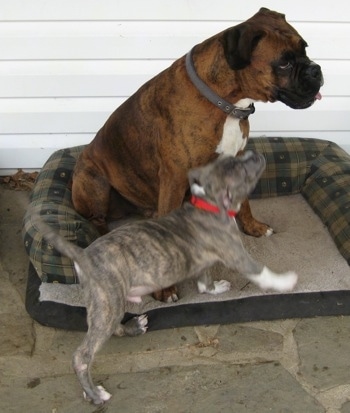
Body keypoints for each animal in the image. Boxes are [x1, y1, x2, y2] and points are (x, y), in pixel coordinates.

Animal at [37, 150, 296, 402]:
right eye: (241, 170)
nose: (256, 153)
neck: (209, 203)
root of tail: (83, 254)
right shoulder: (236, 255)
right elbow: (261, 271)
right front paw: (285, 281)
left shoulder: (203, 262)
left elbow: (205, 284)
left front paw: (217, 288)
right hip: (108, 302)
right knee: (82, 356)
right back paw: (94, 393)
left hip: (107, 304)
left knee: (110, 330)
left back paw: (133, 328)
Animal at [71, 8, 322, 300]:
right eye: (284, 63)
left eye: (305, 49)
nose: (316, 70)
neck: (226, 102)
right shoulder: (174, 176)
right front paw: (165, 288)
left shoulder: (237, 160)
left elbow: (245, 202)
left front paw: (253, 227)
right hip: (94, 182)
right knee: (96, 220)